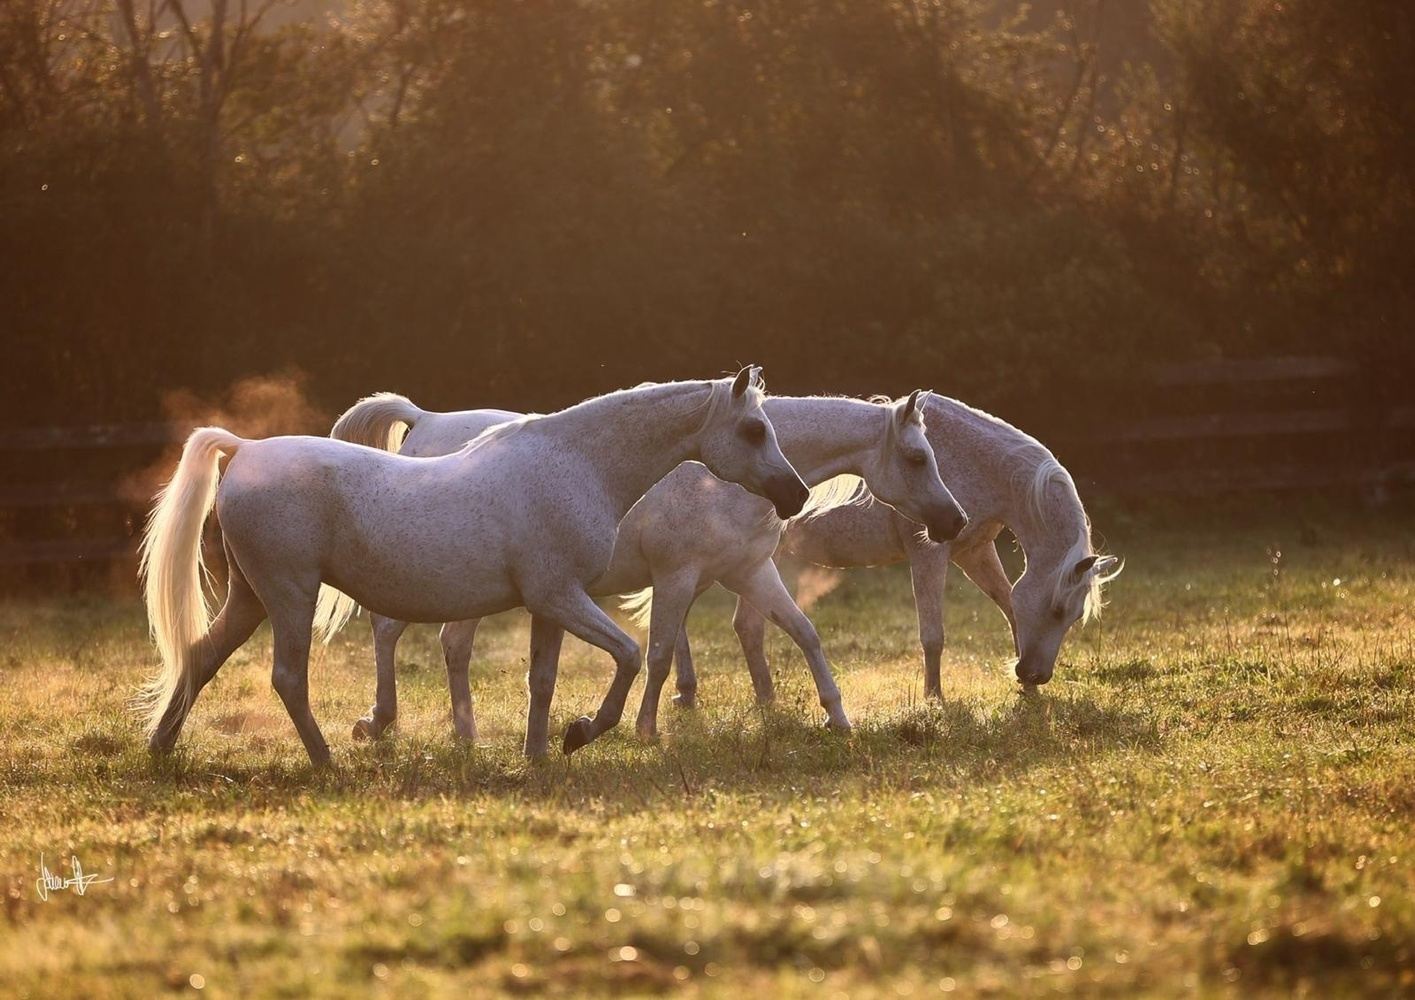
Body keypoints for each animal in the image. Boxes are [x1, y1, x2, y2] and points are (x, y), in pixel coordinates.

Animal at [138, 369, 808, 763]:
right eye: (754, 429)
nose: (795, 495)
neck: (577, 462)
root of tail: (245, 450)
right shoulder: (560, 595)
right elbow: (630, 654)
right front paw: (583, 732)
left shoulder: (549, 605)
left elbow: (543, 679)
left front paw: (539, 754)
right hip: (289, 596)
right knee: (287, 678)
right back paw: (327, 761)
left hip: (251, 598)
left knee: (200, 657)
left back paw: (161, 748)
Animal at [329, 391, 967, 746]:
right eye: (917, 457)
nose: (953, 520)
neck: (715, 477)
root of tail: (425, 421)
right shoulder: (677, 576)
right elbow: (659, 654)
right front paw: (643, 729)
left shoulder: (749, 571)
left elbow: (806, 634)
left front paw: (838, 718)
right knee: (388, 631)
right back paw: (380, 721)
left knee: (452, 646)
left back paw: (466, 735)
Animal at [713, 393, 1121, 705]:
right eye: (1057, 611)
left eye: (1072, 617)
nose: (1036, 675)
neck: (975, 462)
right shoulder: (930, 554)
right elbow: (933, 635)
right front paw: (934, 698)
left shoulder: (974, 552)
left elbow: (1009, 606)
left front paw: (1025, 691)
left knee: (748, 627)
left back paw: (766, 702)